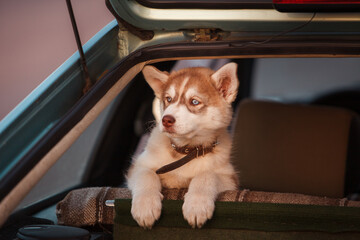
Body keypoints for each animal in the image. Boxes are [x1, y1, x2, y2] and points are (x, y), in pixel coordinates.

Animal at [126, 62, 239, 229]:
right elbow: (146, 174)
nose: (166, 120)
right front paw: (145, 205)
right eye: (168, 99)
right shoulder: (137, 166)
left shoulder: (230, 179)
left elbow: (207, 174)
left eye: (194, 102)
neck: (185, 151)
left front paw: (197, 204)